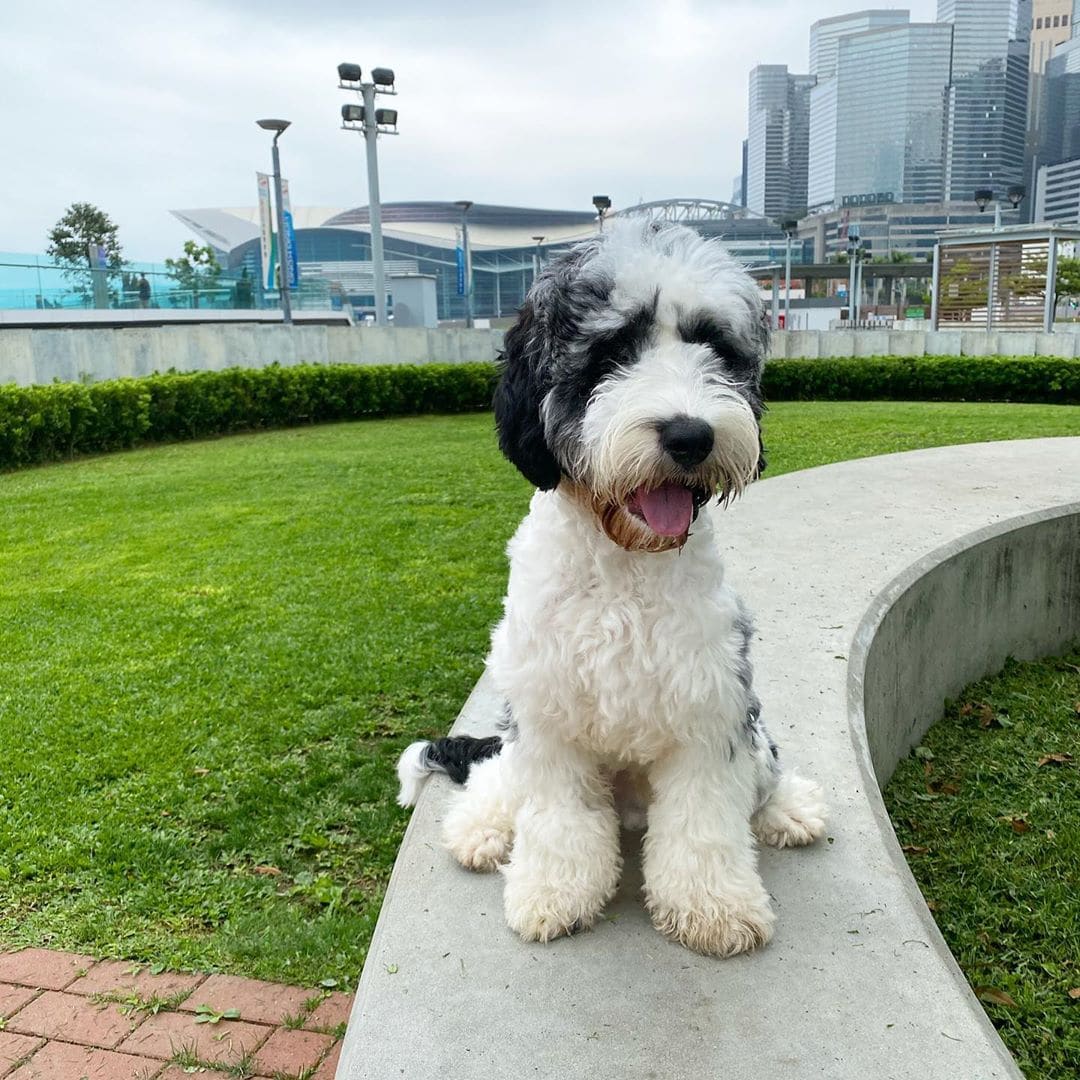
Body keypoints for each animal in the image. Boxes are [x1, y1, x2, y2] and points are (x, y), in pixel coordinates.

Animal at [397, 217, 825, 954]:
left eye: (716, 348)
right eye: (612, 352)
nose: (691, 435)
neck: (626, 563)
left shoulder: (710, 704)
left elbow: (705, 818)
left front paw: (714, 906)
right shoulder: (548, 716)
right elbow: (557, 816)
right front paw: (553, 893)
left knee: (762, 772)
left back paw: (786, 809)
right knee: (496, 776)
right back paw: (481, 828)